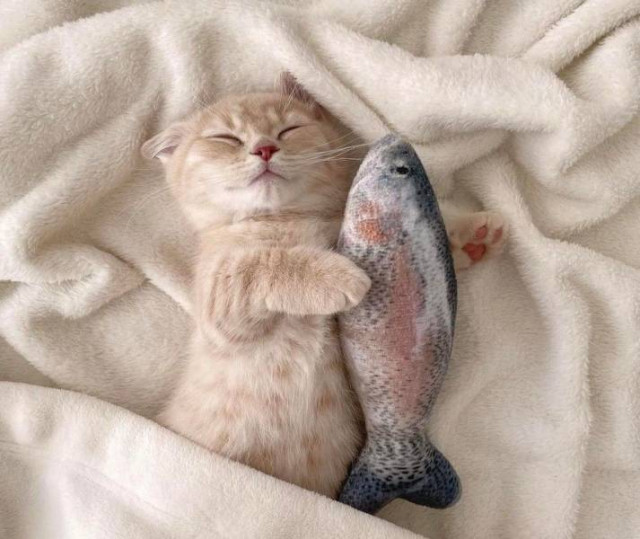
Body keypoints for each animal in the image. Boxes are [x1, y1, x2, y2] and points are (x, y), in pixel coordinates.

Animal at [142, 73, 506, 497]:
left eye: (288, 129)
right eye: (225, 138)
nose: (264, 148)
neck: (283, 220)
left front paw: (473, 236)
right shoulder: (218, 302)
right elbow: (264, 264)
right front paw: (339, 276)